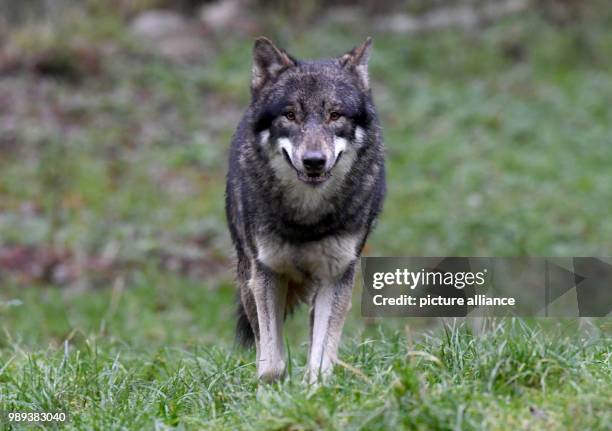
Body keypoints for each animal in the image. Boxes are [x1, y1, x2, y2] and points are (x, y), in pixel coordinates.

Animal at [227, 35, 384, 384]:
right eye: (290, 115)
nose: (314, 161)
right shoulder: (266, 273)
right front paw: (272, 390)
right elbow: (271, 361)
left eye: (335, 115)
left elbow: (321, 359)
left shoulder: (338, 275)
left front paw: (315, 390)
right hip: (247, 279)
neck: (306, 218)